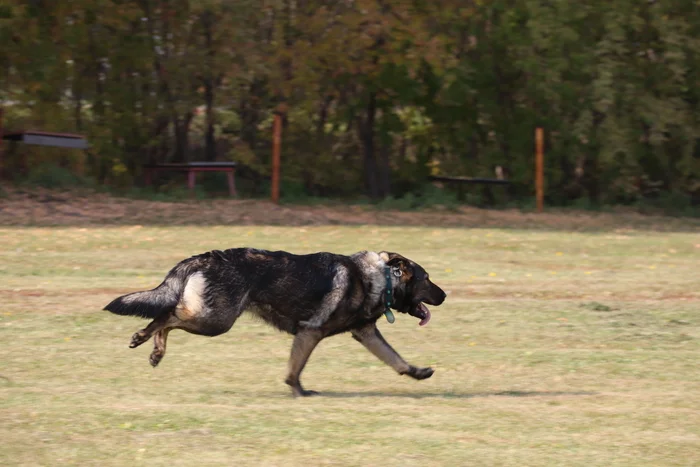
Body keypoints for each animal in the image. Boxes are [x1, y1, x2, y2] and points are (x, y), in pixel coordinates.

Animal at [105, 250, 442, 396]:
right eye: (427, 279)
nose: (445, 295)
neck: (379, 278)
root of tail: (202, 257)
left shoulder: (366, 333)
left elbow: (396, 360)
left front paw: (418, 373)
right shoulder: (310, 333)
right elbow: (295, 370)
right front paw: (300, 393)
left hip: (211, 319)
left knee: (169, 317)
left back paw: (156, 352)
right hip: (215, 321)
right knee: (167, 315)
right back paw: (144, 338)